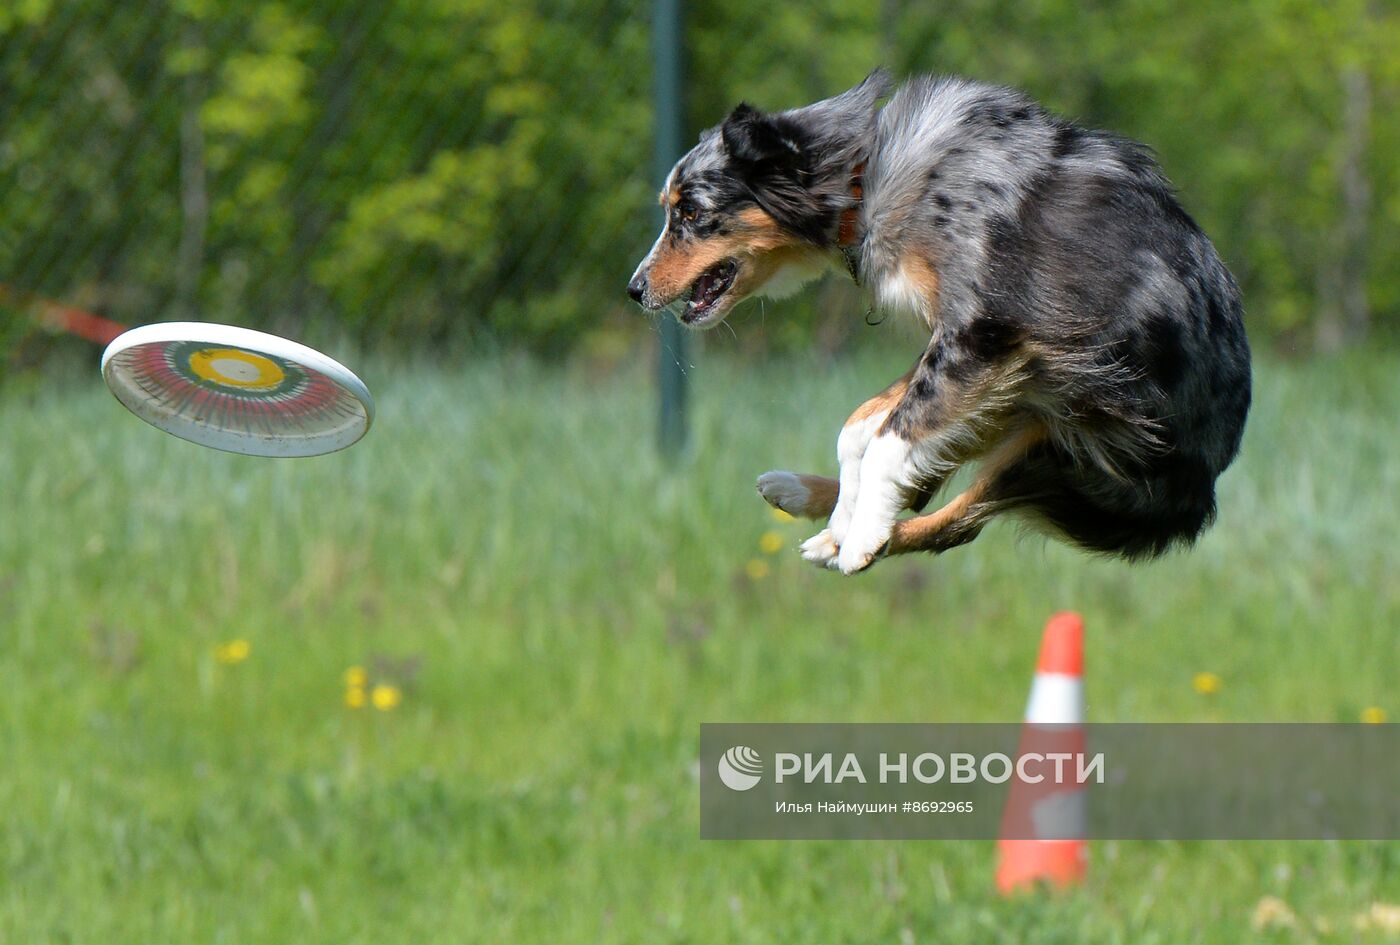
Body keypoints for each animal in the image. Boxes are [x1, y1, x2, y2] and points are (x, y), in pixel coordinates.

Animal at [630, 70, 1254, 574]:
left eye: (691, 213)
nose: (634, 290)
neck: (864, 179)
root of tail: (1205, 493)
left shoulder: (986, 336)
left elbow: (888, 441)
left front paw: (860, 536)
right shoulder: (975, 351)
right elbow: (862, 428)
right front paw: (848, 515)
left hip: (1068, 442)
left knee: (955, 525)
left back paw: (854, 542)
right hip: (1035, 403)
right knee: (927, 485)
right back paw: (812, 506)